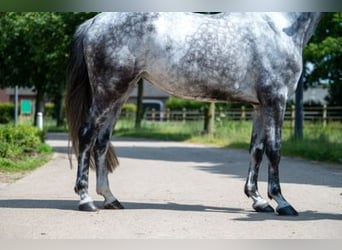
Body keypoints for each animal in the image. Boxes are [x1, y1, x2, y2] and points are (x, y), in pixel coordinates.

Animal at [66, 12, 320, 215]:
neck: (278, 25)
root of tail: (94, 22)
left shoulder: (259, 107)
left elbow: (256, 151)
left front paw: (258, 201)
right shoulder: (275, 100)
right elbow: (274, 151)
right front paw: (282, 202)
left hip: (119, 95)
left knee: (101, 142)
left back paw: (110, 198)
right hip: (108, 92)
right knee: (87, 135)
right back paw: (86, 200)